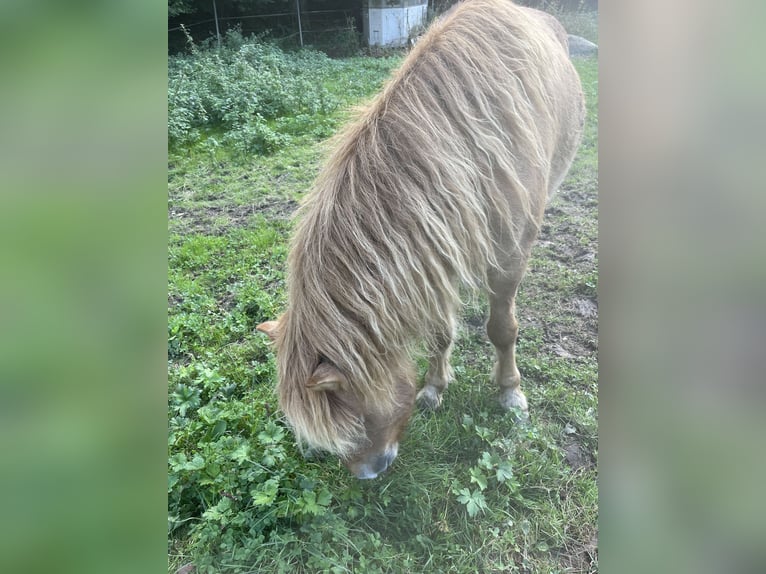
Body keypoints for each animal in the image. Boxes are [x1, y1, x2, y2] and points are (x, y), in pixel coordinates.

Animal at [258, 0, 588, 482]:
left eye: (356, 418)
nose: (367, 475)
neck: (464, 150)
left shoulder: (508, 254)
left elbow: (502, 328)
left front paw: (510, 394)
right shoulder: (435, 252)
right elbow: (437, 331)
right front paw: (433, 387)